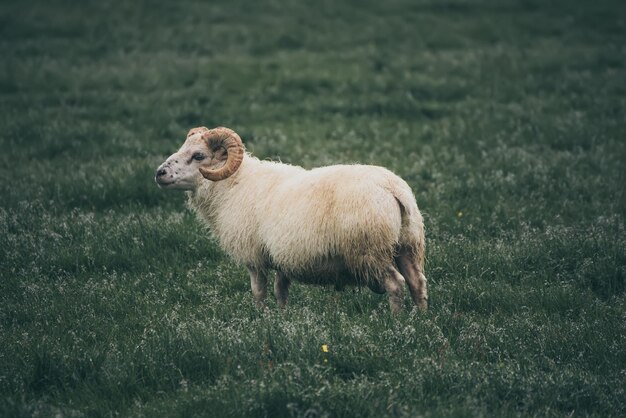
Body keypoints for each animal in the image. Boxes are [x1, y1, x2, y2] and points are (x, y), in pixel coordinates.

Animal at [156, 125, 426, 312]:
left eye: (199, 156)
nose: (159, 173)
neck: (232, 185)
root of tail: (393, 188)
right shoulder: (280, 257)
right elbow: (281, 291)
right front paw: (282, 318)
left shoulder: (253, 256)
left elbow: (259, 292)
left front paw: (260, 319)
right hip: (407, 246)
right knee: (417, 282)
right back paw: (419, 320)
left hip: (369, 251)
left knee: (396, 284)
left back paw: (396, 322)